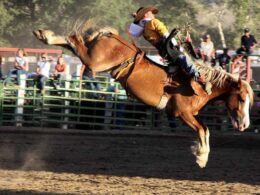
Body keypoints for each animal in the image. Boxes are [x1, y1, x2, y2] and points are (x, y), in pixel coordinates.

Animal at [33, 26, 253, 168]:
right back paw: (46, 36)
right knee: (75, 43)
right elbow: (202, 130)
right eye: (242, 99)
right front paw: (201, 157)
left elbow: (205, 130)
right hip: (94, 62)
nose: (245, 125)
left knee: (73, 43)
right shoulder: (183, 113)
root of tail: (111, 36)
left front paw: (200, 155)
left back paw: (44, 35)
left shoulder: (190, 115)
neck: (200, 84)